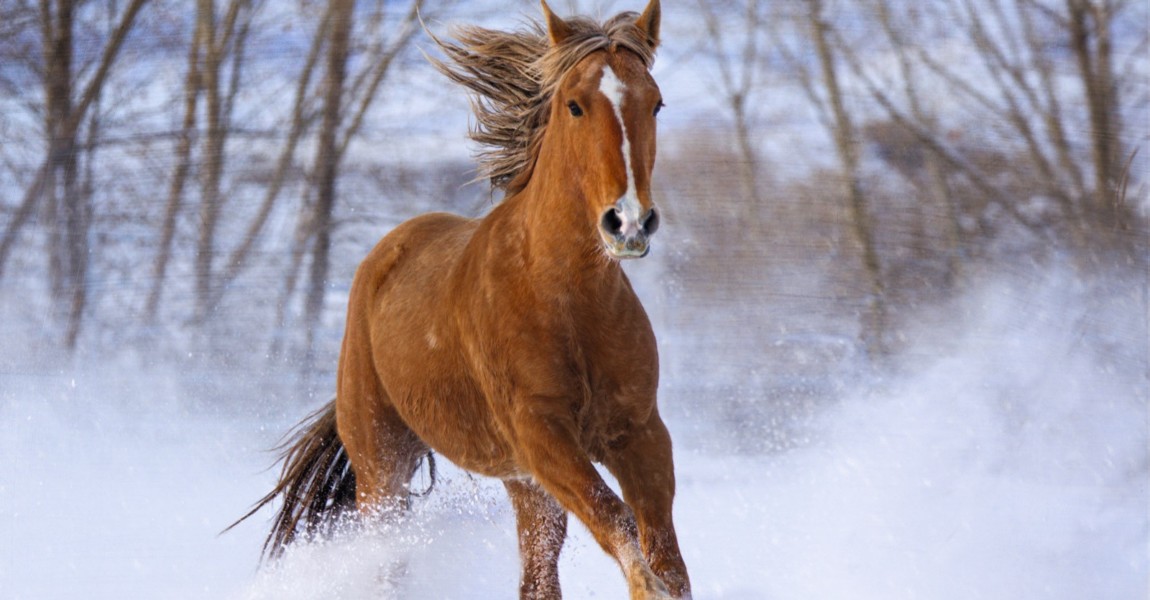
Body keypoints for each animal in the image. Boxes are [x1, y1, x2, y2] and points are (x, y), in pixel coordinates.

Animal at [228, 2, 685, 593]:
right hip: (383, 467)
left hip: (521, 483)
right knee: (388, 560)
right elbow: (620, 525)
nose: (628, 222)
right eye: (575, 105)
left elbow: (666, 557)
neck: (564, 299)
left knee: (537, 578)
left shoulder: (640, 433)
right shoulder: (541, 435)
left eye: (656, 103)